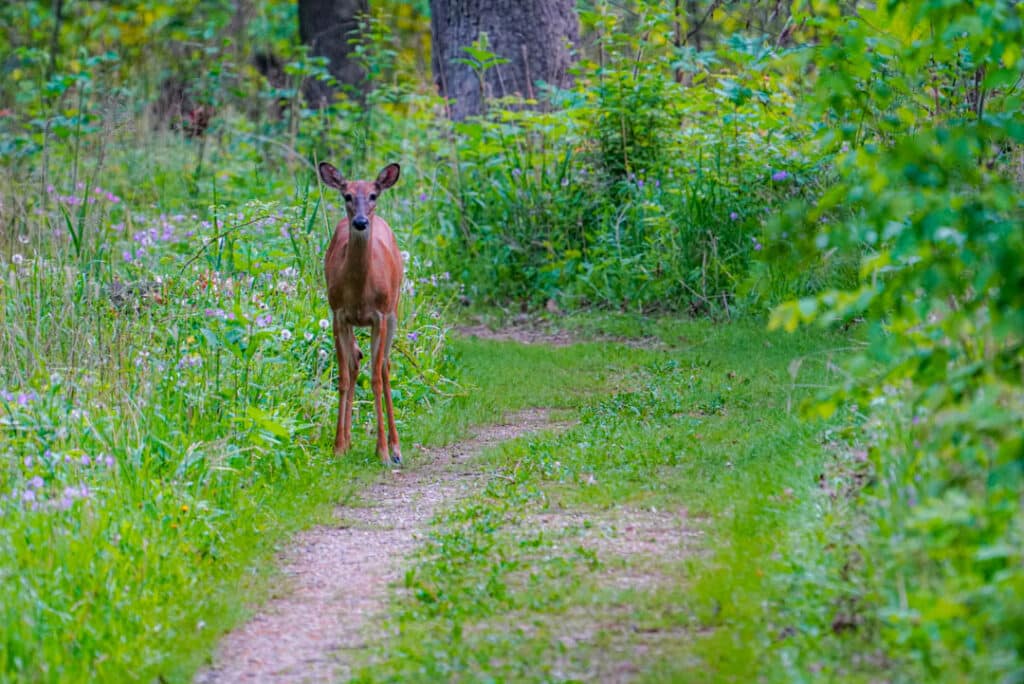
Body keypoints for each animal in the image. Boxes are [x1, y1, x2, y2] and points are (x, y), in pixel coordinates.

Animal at [319, 161, 404, 466]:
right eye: (346, 196)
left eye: (373, 196)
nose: (360, 221)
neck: (359, 290)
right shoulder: (338, 314)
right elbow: (344, 377)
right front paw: (338, 447)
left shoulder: (379, 315)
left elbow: (376, 378)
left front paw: (383, 452)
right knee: (356, 361)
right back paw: (349, 440)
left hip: (394, 311)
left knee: (385, 367)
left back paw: (396, 447)